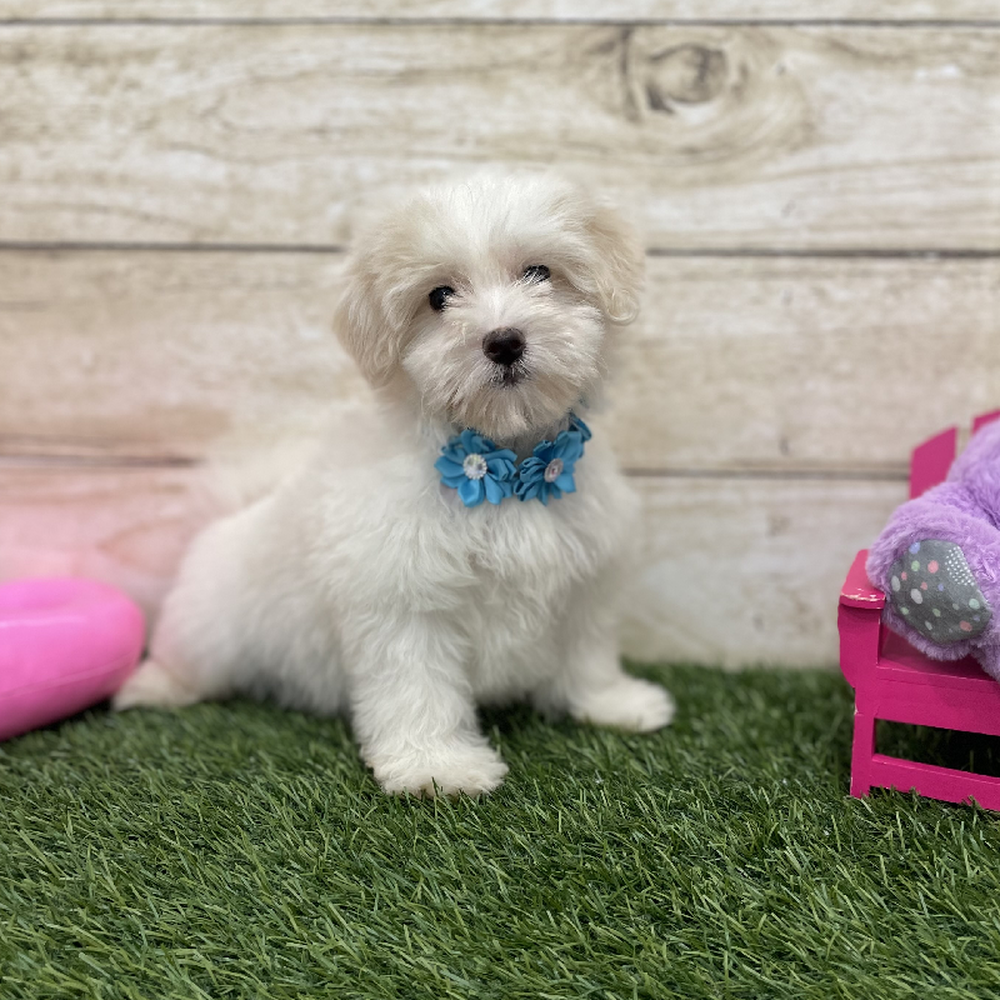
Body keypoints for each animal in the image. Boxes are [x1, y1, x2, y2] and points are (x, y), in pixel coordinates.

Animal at [115, 174, 672, 796]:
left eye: (539, 273)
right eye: (439, 296)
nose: (503, 341)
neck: (506, 466)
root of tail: (236, 515)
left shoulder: (586, 581)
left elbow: (587, 652)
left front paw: (612, 703)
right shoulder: (402, 597)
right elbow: (418, 686)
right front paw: (438, 765)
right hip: (207, 629)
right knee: (188, 660)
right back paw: (152, 686)